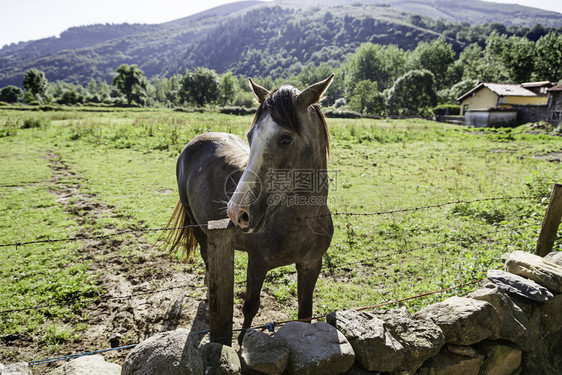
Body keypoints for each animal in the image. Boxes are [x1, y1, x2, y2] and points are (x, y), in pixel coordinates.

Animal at [162, 74, 334, 344]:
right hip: (199, 228)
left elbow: (305, 313)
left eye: (286, 138)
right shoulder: (257, 264)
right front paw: (242, 343)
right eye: (251, 136)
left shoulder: (311, 265)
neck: (298, 221)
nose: (236, 213)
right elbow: (251, 307)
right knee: (207, 260)